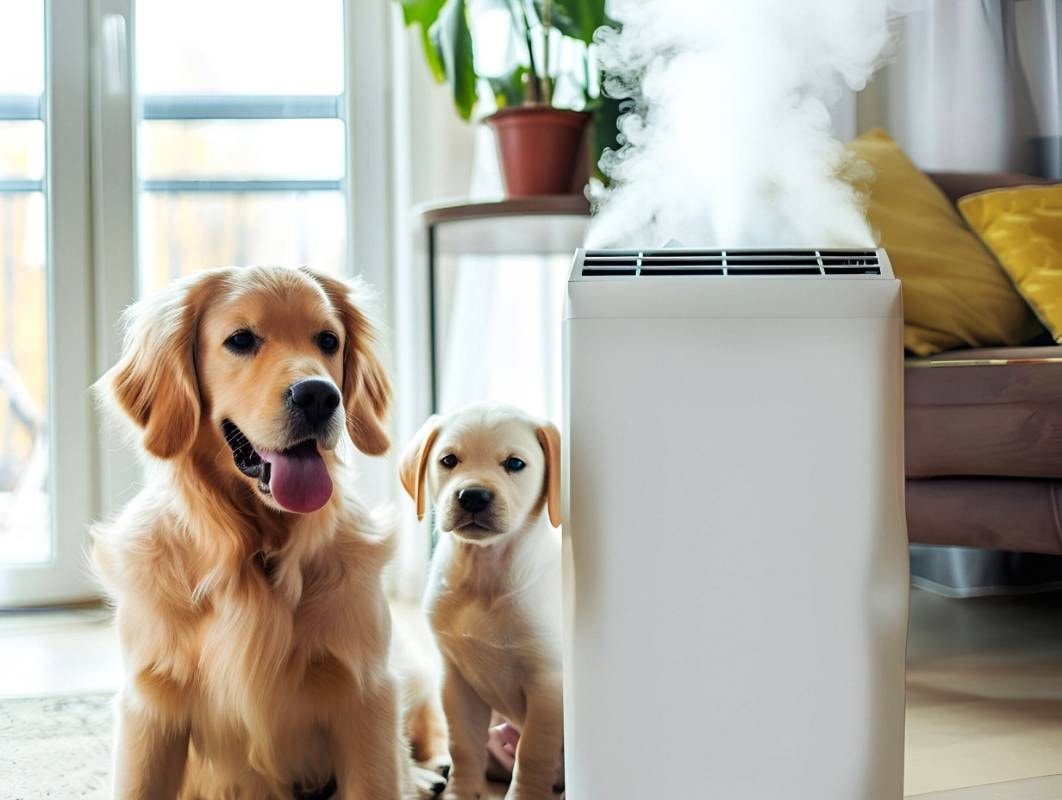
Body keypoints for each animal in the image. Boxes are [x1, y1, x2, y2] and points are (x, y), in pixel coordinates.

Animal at [399, 401, 564, 798]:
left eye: (515, 464)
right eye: (448, 460)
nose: (473, 495)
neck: (484, 574)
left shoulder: (548, 685)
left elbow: (532, 753)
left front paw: (524, 796)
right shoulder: (455, 680)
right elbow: (462, 744)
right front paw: (460, 791)